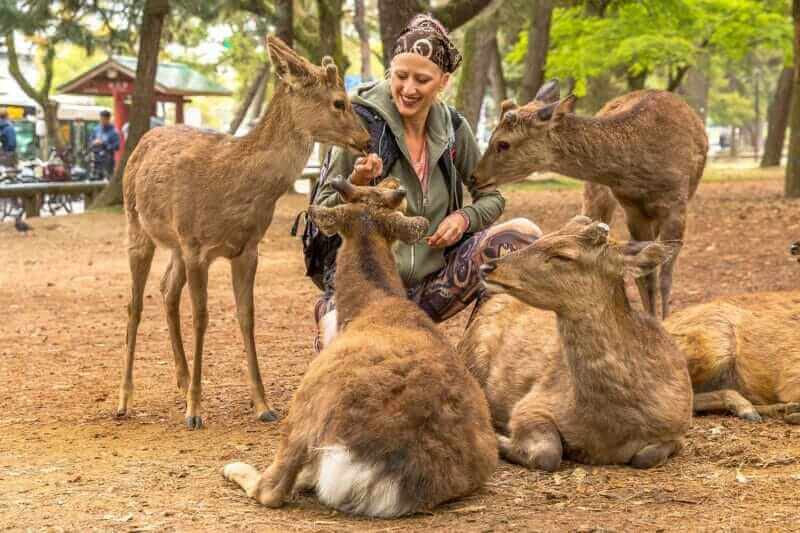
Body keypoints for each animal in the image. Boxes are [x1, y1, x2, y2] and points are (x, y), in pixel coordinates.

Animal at [116, 36, 372, 428]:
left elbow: (247, 317)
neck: (234, 187)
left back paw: (182, 380)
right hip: (138, 227)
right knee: (135, 303)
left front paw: (263, 405)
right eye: (339, 102)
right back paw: (125, 400)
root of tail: (143, 141)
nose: (367, 139)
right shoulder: (196, 245)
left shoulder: (247, 249)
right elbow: (202, 318)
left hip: (174, 245)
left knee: (167, 290)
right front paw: (195, 411)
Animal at [222, 179, 496, 516]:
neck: (369, 303)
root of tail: (389, 475)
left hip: (308, 402)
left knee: (273, 488)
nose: (392, 182)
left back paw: (234, 467)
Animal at [468, 214, 692, 468]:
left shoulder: (679, 428)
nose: (488, 267)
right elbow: (548, 454)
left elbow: (646, 457)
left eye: (563, 255)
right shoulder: (531, 403)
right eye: (547, 235)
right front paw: (502, 440)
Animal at [472, 81, 708, 318]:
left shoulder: (676, 203)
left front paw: (665, 319)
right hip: (595, 194)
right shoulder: (632, 208)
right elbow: (646, 275)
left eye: (503, 143)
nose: (474, 177)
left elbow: (664, 276)